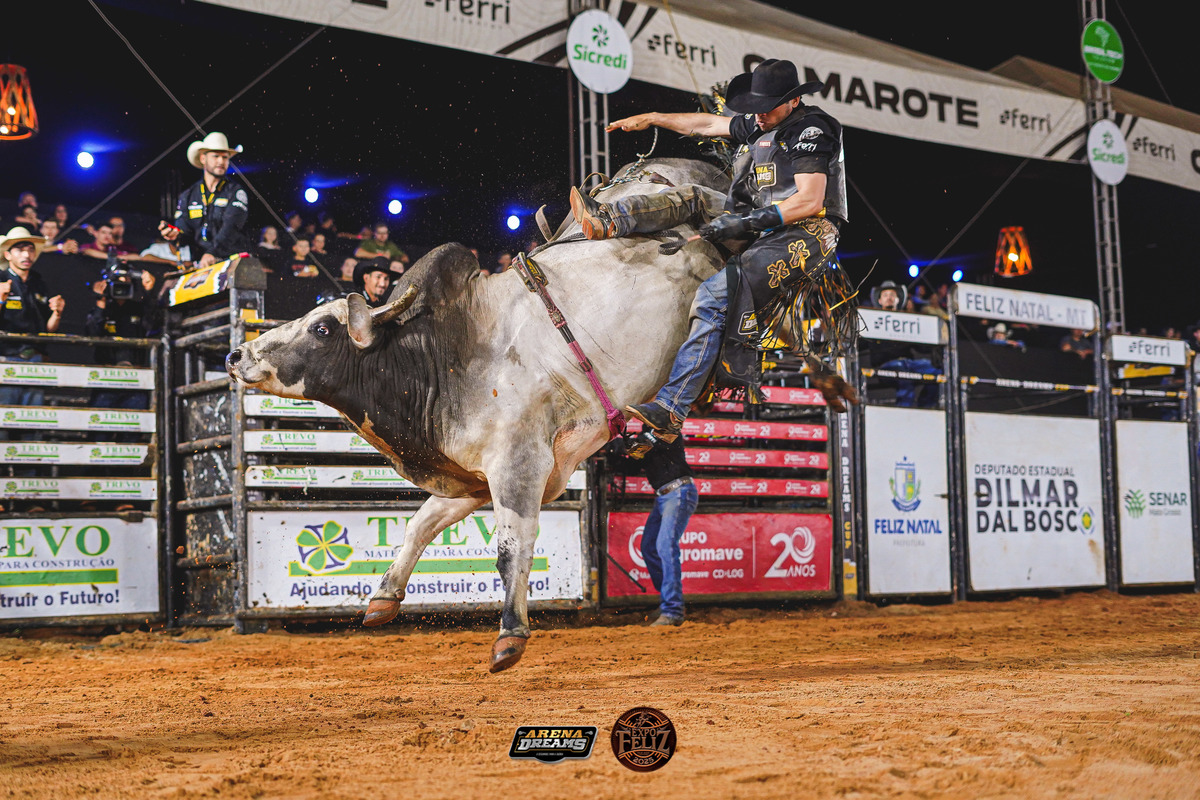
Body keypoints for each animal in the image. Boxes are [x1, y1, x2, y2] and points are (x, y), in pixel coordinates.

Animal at [226, 158, 847, 672]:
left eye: (322, 328)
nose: (237, 355)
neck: (446, 359)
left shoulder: (518, 466)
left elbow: (510, 550)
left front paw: (510, 636)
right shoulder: (471, 479)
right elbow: (420, 524)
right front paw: (381, 599)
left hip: (744, 232)